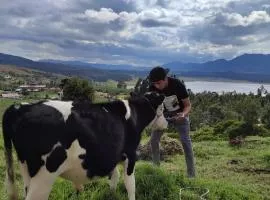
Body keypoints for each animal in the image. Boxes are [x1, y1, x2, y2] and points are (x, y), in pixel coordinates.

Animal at [2, 92, 167, 200]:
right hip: (44, 176)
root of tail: (20, 107)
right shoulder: (130, 155)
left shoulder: (113, 155)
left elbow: (114, 177)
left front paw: (111, 195)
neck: (133, 114)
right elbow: (130, 184)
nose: (166, 124)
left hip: (25, 170)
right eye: (163, 109)